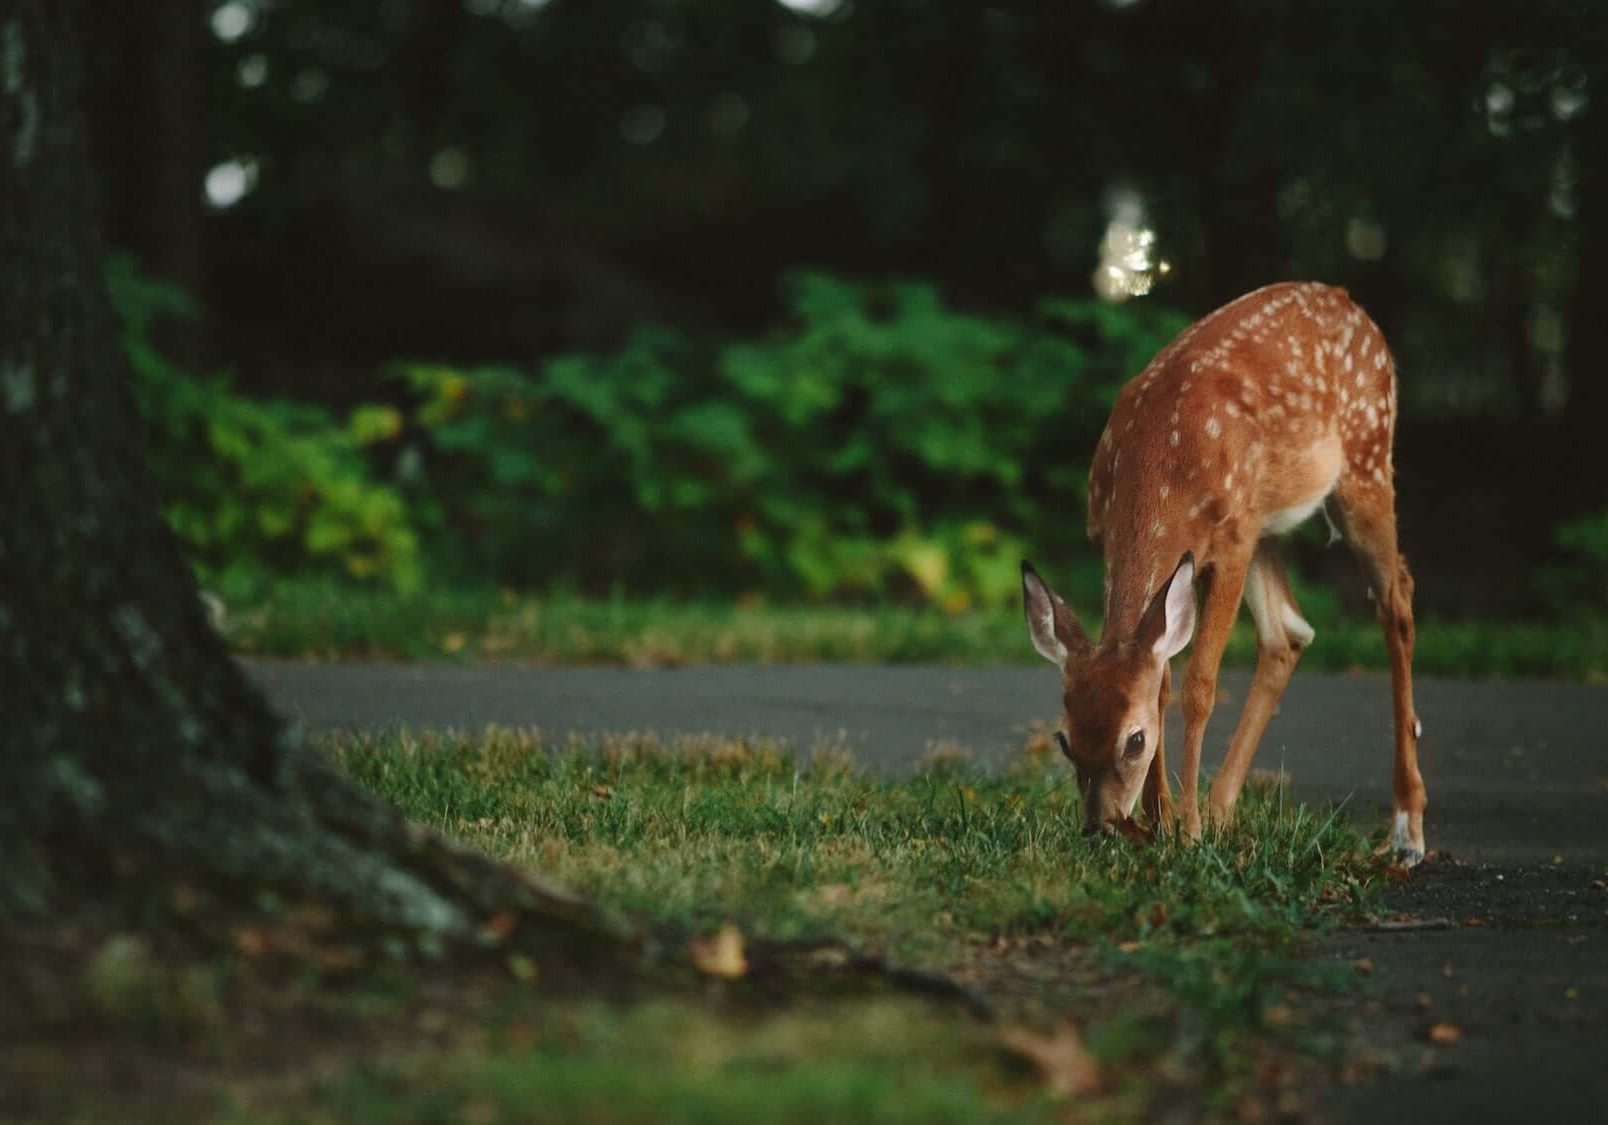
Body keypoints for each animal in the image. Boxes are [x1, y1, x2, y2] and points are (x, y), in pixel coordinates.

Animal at [1021, 282, 1427, 864]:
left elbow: (1198, 686)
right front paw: (1162, 822)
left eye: (1134, 741)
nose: (1100, 829)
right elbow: (1161, 678)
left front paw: (1184, 831)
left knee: (1396, 598)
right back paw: (1220, 810)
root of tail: (1349, 302)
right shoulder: (1116, 537)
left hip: (1364, 462)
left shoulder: (1230, 543)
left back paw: (1407, 830)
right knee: (1288, 632)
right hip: (1267, 523)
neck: (1160, 466)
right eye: (1065, 739)